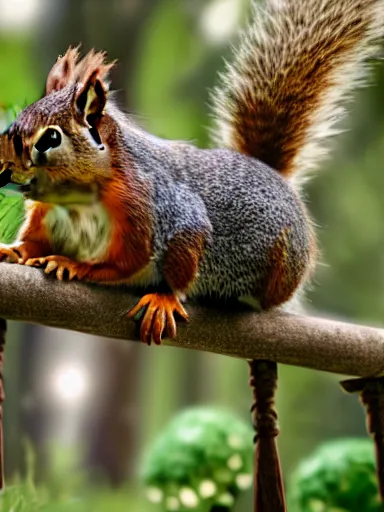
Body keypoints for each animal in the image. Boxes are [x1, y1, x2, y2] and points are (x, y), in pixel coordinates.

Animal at [0, 1, 382, 344]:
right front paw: (15, 251)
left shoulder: (153, 209)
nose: (6, 171)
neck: (75, 201)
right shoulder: (47, 217)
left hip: (283, 265)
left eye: (51, 139)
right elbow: (34, 240)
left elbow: (130, 262)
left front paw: (76, 265)